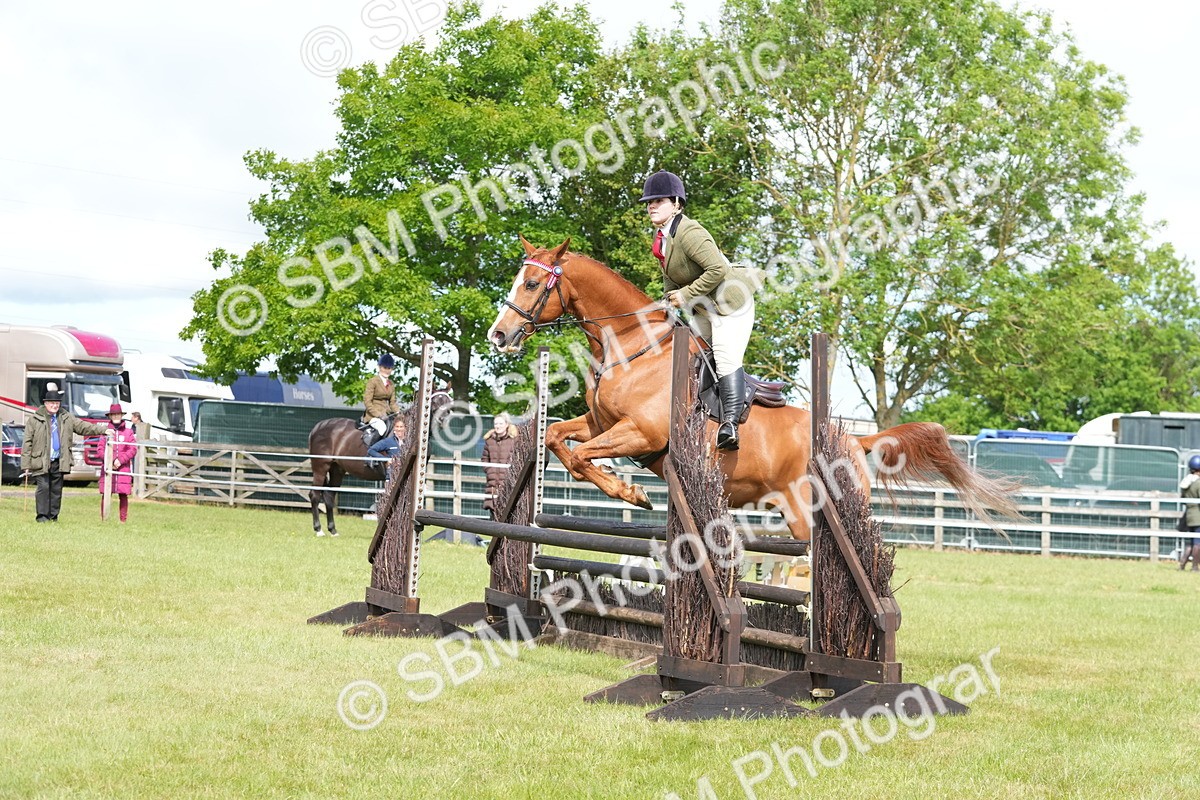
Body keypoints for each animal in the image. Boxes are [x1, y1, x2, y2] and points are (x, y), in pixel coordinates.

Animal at [308, 386, 452, 535]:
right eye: (434, 401)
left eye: (448, 401)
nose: (443, 420)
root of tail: (318, 427)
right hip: (321, 467)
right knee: (315, 495)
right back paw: (318, 530)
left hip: (337, 469)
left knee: (329, 496)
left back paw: (333, 530)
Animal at [486, 236, 1019, 541]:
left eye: (531, 285)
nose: (499, 335)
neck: (633, 345)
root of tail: (853, 437)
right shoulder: (601, 424)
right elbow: (558, 438)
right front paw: (624, 487)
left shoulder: (641, 432)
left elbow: (580, 457)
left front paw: (631, 493)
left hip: (810, 511)